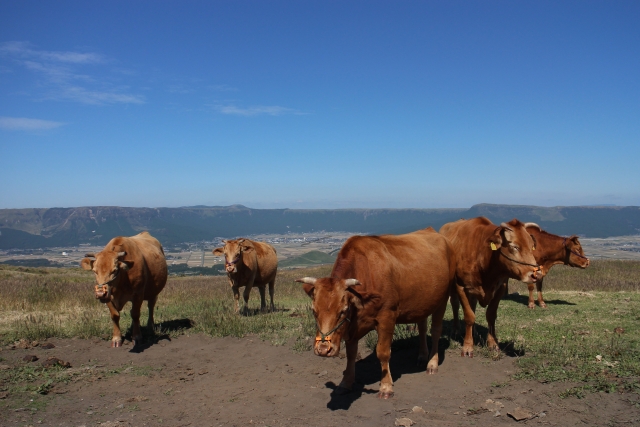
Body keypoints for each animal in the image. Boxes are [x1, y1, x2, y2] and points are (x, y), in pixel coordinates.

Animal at [296, 229, 456, 400]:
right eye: (314, 311)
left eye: (343, 310)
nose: (323, 349)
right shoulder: (352, 327)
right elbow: (351, 354)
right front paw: (345, 383)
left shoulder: (387, 317)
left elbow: (383, 352)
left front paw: (386, 386)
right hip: (423, 303)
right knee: (422, 328)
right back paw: (422, 356)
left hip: (443, 298)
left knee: (436, 330)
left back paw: (432, 363)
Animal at [442, 217, 544, 358]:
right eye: (514, 246)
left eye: (531, 246)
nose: (537, 274)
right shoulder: (461, 286)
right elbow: (469, 316)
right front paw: (467, 346)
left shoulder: (500, 288)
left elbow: (490, 315)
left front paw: (493, 344)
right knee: (455, 304)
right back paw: (456, 330)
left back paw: (473, 332)